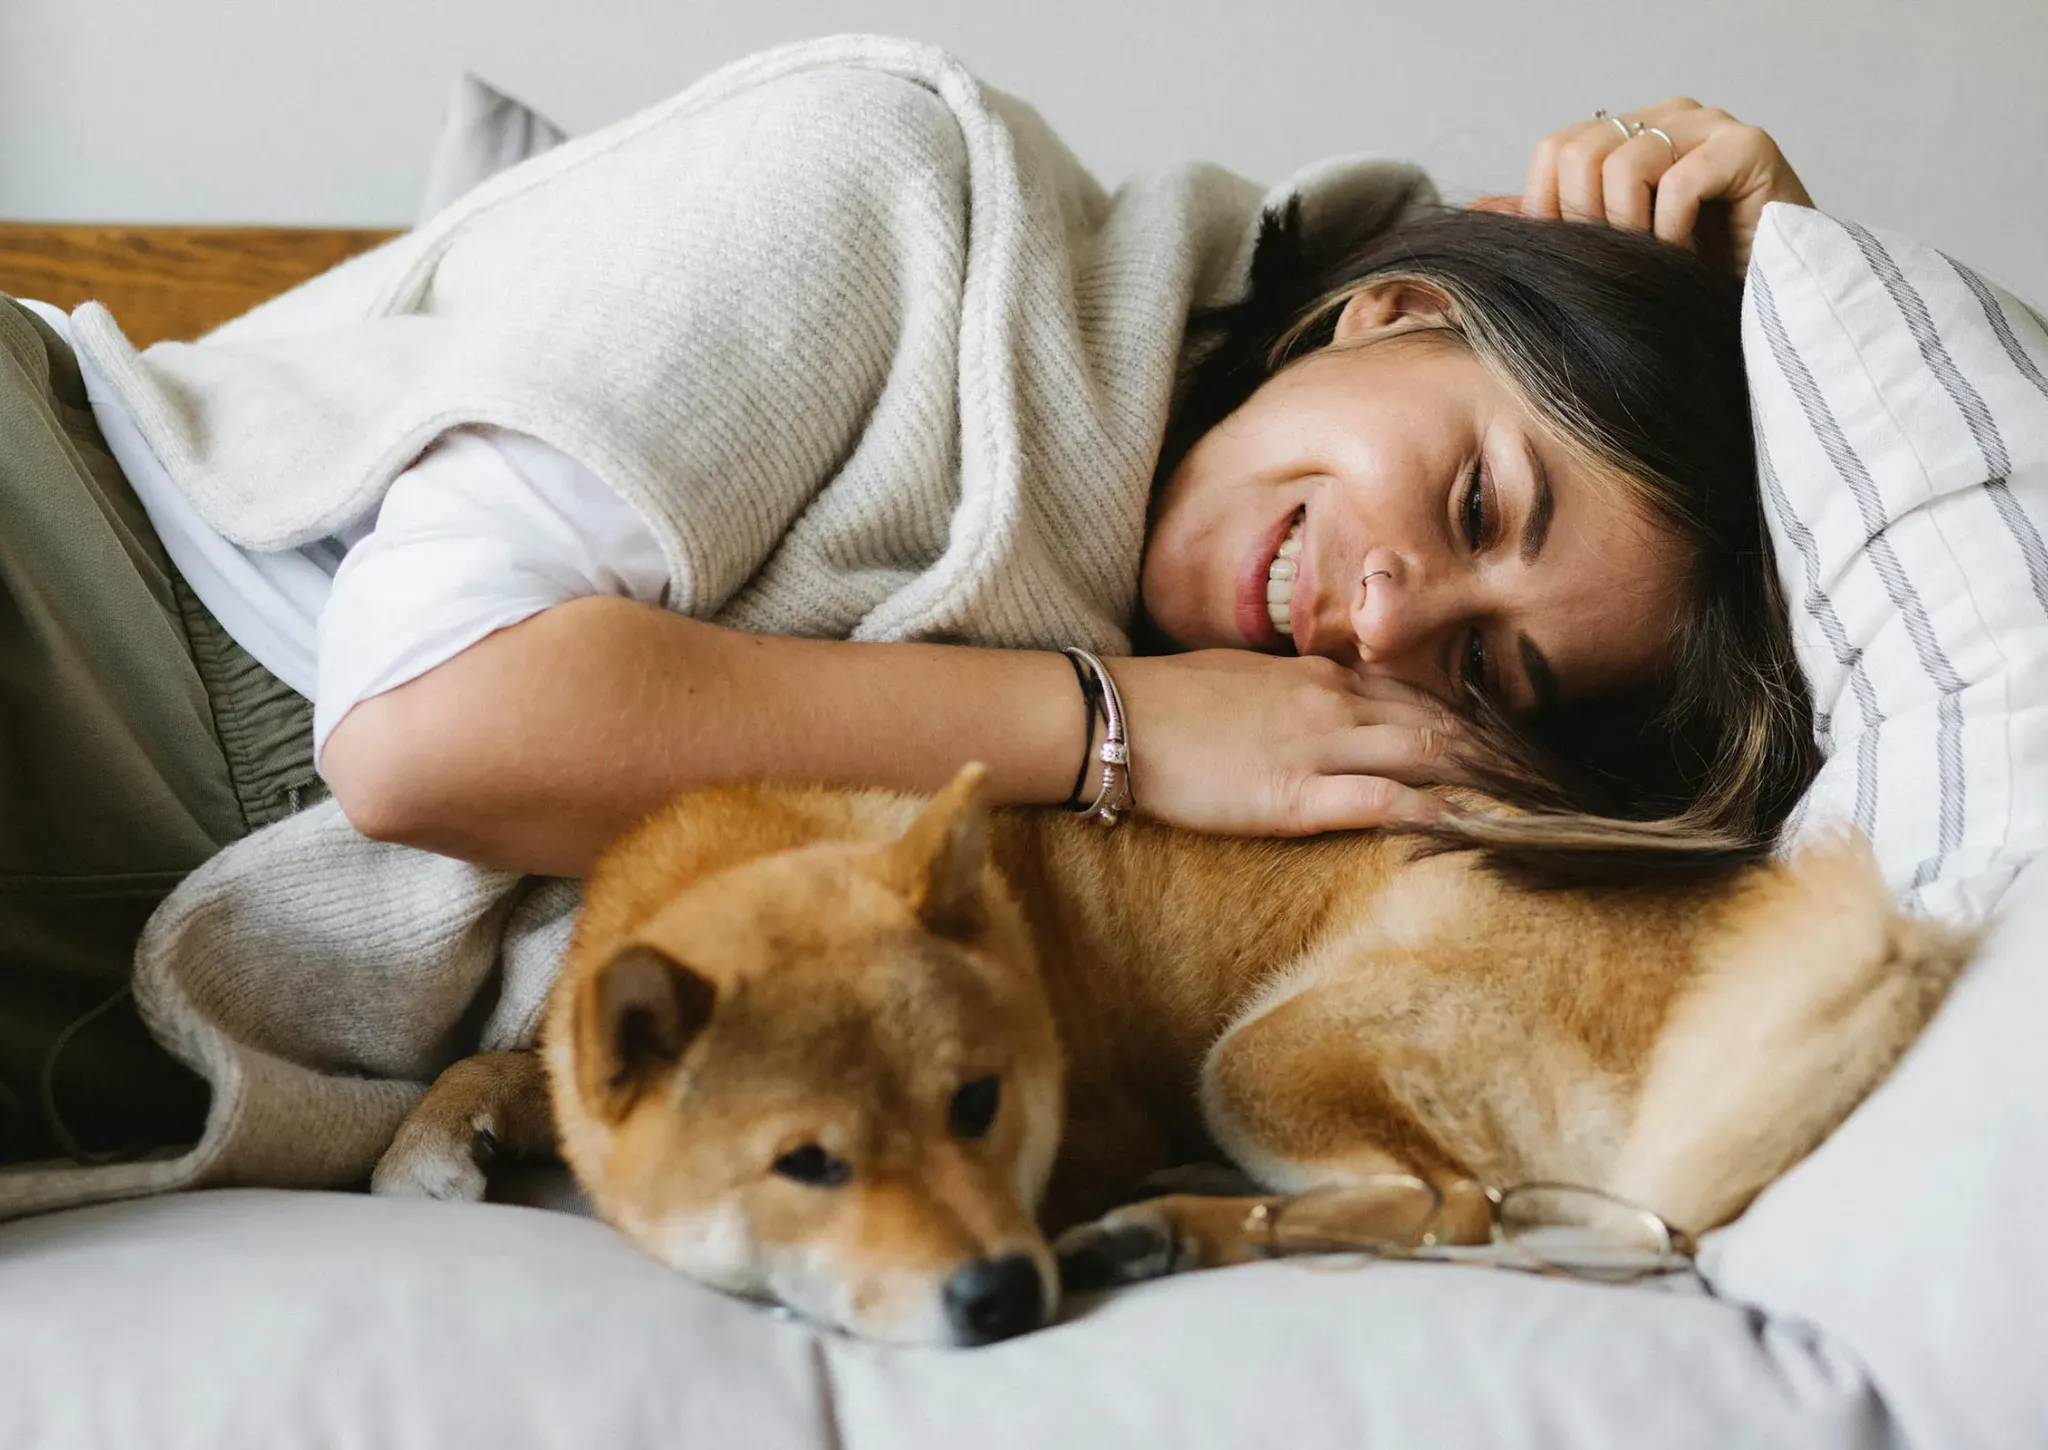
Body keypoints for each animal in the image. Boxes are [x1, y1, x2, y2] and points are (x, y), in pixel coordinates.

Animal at [376, 765, 1974, 1343]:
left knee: (1446, 1210)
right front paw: (434, 1144)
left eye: (977, 1106)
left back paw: (1164, 1224)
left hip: (1263, 1051)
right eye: (808, 1164)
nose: (1000, 1293)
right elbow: (501, 1064)